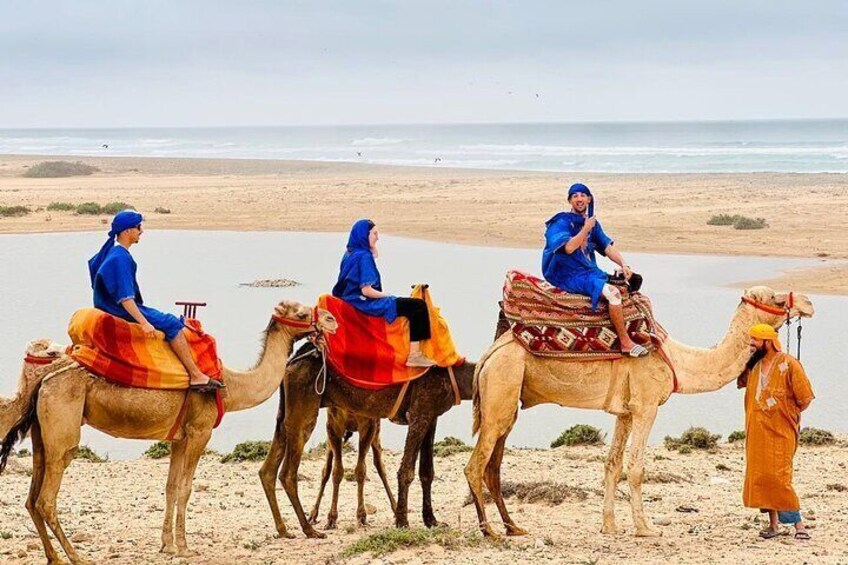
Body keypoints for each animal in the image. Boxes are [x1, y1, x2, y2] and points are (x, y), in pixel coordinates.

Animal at [0, 302, 338, 564]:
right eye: (302, 311)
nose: (331, 320)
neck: (229, 385)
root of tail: (43, 380)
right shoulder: (200, 431)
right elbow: (186, 488)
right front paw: (185, 547)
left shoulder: (179, 437)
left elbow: (171, 487)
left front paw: (167, 544)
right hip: (63, 431)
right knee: (47, 498)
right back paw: (76, 556)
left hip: (41, 433)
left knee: (32, 498)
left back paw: (54, 556)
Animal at [258, 344, 474, 536]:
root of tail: (292, 361)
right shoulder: (419, 413)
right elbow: (406, 471)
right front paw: (403, 523)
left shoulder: (431, 415)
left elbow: (427, 472)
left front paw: (432, 521)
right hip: (305, 407)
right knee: (288, 472)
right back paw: (309, 529)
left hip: (288, 410)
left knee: (268, 469)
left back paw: (284, 530)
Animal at [468, 286, 812, 536]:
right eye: (776, 297)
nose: (808, 302)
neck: (676, 360)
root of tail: (488, 356)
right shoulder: (646, 406)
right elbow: (636, 468)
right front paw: (646, 528)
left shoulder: (626, 411)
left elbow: (612, 464)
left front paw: (609, 526)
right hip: (501, 386)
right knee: (476, 464)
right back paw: (490, 532)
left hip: (508, 398)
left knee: (493, 465)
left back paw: (513, 527)